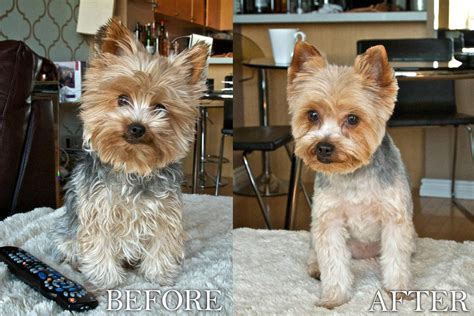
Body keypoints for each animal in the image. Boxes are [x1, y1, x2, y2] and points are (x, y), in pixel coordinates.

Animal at [54, 18, 208, 290]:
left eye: (160, 107)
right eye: (122, 99)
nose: (137, 127)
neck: (132, 167)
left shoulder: (164, 213)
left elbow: (162, 243)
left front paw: (159, 275)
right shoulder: (99, 212)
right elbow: (99, 245)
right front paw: (106, 280)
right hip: (67, 230)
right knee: (69, 243)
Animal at [286, 41, 414, 308]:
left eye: (353, 119)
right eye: (312, 115)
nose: (323, 147)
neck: (353, 175)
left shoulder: (394, 217)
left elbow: (397, 260)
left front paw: (398, 291)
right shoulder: (329, 221)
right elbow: (333, 263)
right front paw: (334, 298)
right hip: (316, 231)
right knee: (315, 251)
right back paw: (315, 267)